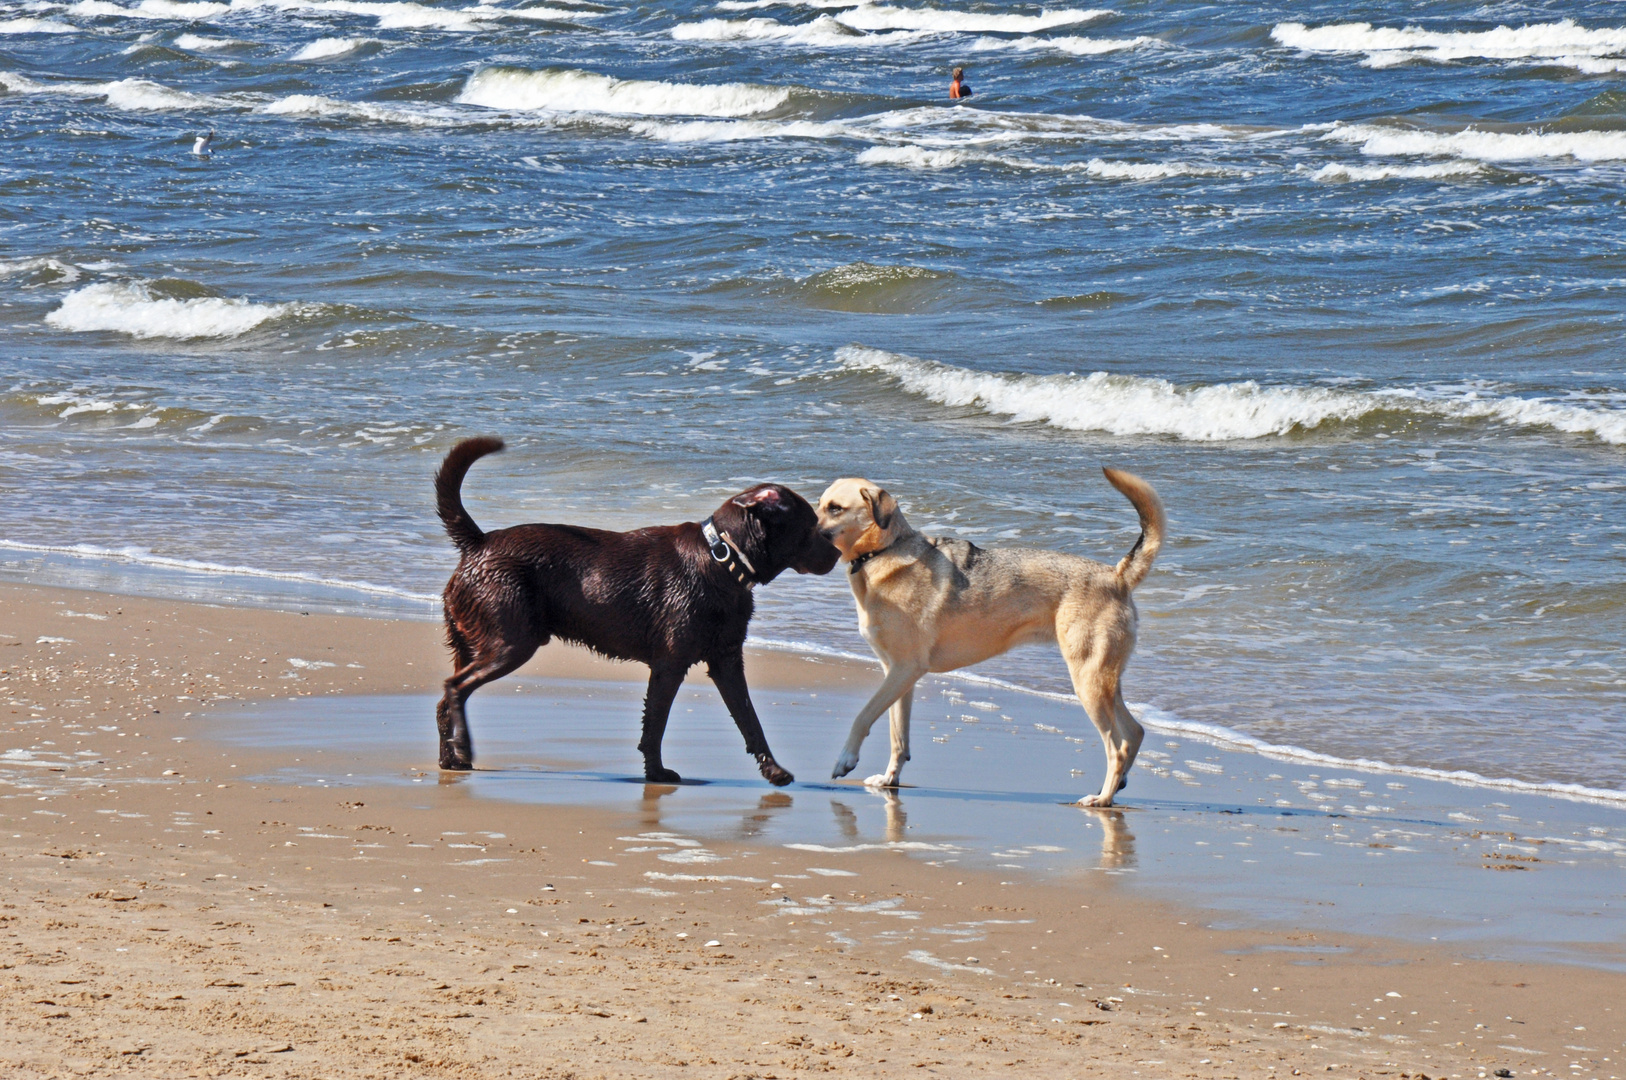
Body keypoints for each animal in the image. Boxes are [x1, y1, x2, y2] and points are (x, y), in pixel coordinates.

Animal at [435, 439, 839, 783]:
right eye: (811, 525)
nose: (837, 553)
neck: (722, 557)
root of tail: (478, 543)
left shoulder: (726, 662)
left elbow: (750, 721)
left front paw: (774, 770)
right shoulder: (670, 665)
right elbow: (656, 724)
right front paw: (657, 774)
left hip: (472, 642)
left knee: (444, 701)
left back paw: (451, 759)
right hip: (511, 642)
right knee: (455, 687)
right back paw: (464, 748)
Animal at [819, 468, 1164, 806]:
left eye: (835, 508)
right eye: (820, 505)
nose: (809, 526)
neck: (884, 551)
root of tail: (1117, 575)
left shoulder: (904, 670)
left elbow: (863, 716)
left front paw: (845, 759)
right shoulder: (898, 675)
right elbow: (897, 737)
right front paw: (890, 779)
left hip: (1088, 682)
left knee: (1116, 747)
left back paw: (1102, 798)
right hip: (1103, 681)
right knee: (1134, 733)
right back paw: (1117, 787)